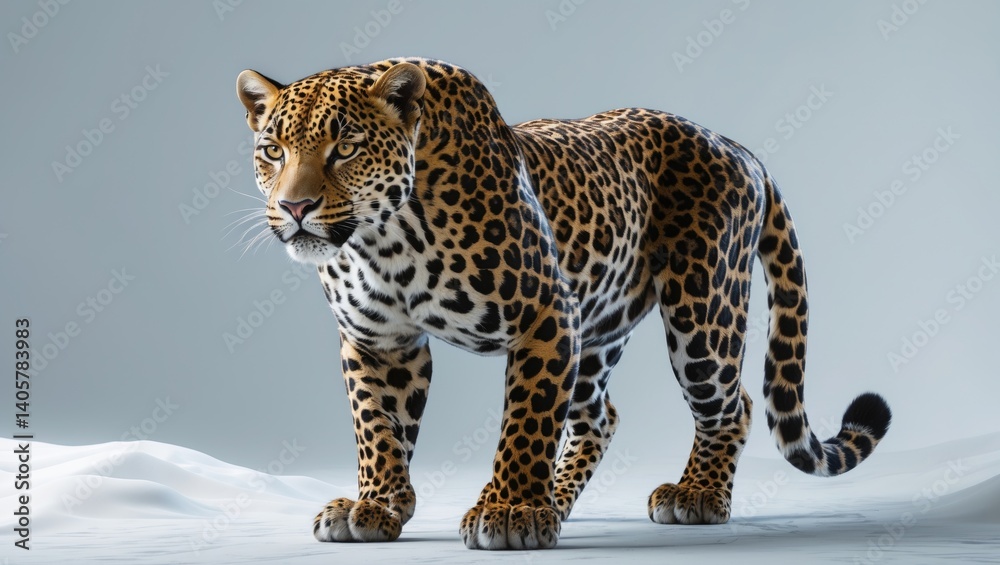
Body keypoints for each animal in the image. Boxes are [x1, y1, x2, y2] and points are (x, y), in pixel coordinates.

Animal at [234, 57, 891, 550]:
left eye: (346, 147)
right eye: (273, 151)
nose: (294, 207)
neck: (384, 239)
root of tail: (734, 145)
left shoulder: (546, 316)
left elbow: (526, 419)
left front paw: (510, 512)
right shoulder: (378, 340)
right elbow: (377, 424)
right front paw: (377, 504)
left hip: (702, 313)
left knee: (735, 405)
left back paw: (697, 495)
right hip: (600, 324)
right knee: (601, 415)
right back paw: (561, 498)